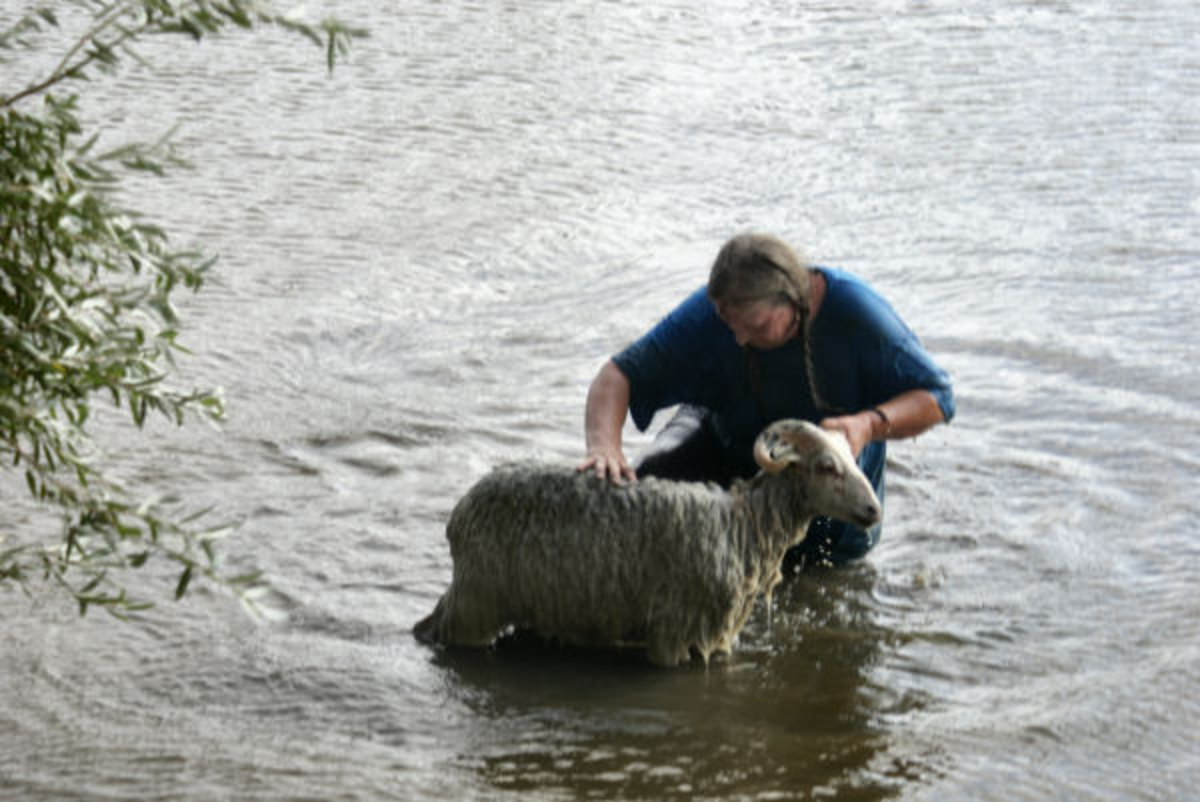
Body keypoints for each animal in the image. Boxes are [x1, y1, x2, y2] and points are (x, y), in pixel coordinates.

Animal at [413, 419, 881, 666]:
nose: (873, 509)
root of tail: (459, 513)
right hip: (477, 602)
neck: (743, 525)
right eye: (826, 466)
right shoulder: (673, 631)